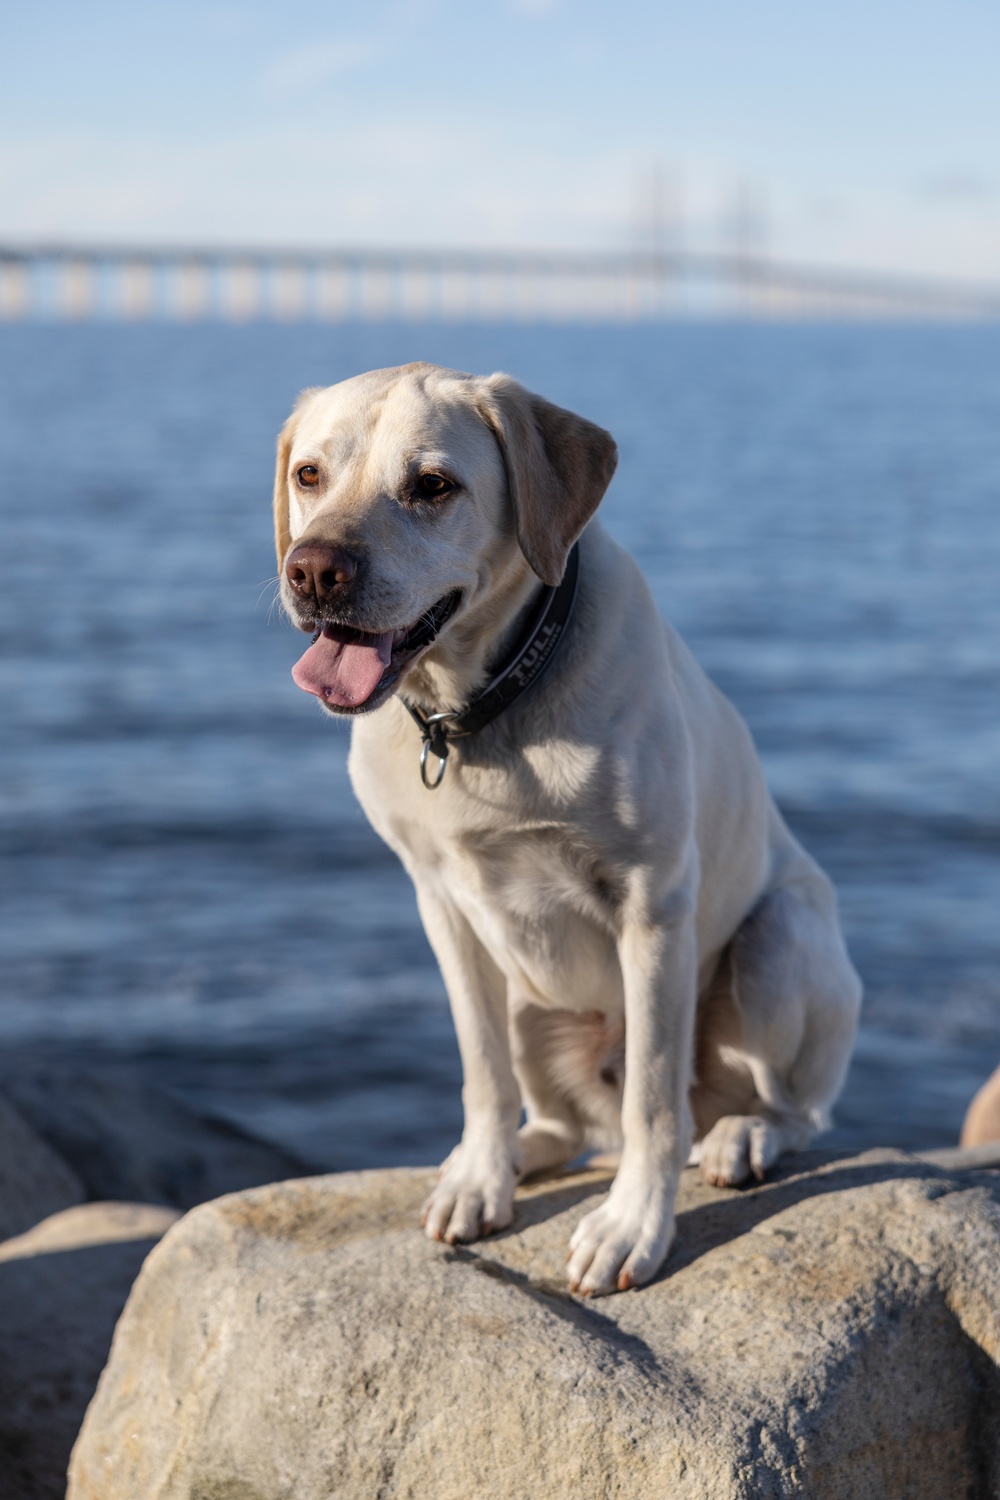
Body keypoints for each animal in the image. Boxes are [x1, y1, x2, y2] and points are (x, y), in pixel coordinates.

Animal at [274, 360, 863, 1290]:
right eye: (309, 475)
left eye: (432, 486)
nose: (312, 572)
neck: (482, 707)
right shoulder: (442, 905)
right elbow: (482, 1071)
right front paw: (480, 1179)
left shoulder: (653, 910)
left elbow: (655, 1100)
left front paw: (631, 1226)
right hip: (530, 999)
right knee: (557, 1116)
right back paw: (510, 1156)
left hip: (781, 944)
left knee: (783, 1108)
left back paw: (743, 1136)